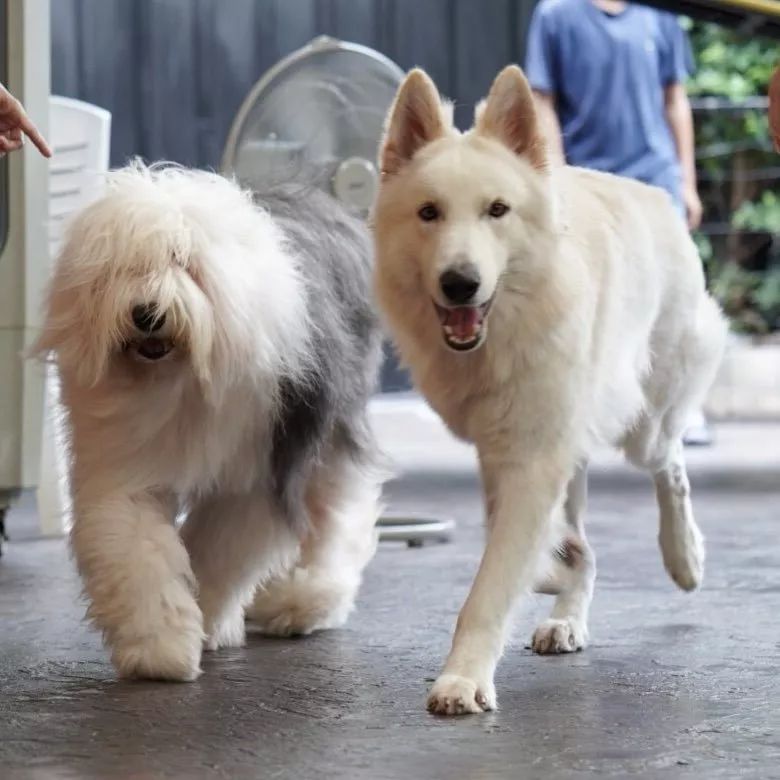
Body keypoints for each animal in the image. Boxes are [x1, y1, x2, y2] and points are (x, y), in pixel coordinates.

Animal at [35, 165, 386, 684]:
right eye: (126, 267)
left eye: (183, 261)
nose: (147, 314)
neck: (178, 379)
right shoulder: (126, 464)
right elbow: (137, 548)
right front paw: (158, 647)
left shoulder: (257, 471)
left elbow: (222, 550)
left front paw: (209, 621)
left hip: (327, 427)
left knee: (334, 514)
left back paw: (304, 601)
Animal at [372, 67, 724, 712]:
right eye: (429, 212)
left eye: (497, 210)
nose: (460, 284)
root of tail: (647, 193)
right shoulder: (503, 453)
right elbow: (533, 545)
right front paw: (562, 565)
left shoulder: (533, 459)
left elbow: (495, 582)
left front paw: (462, 678)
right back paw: (568, 615)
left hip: (644, 427)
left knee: (672, 465)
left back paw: (684, 556)